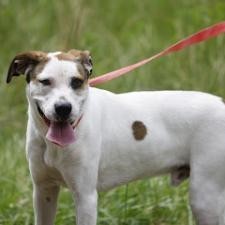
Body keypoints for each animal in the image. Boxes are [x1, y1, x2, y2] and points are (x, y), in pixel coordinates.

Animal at [6, 49, 225, 225]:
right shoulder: (44, 191)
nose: (63, 108)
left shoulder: (85, 197)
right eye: (45, 82)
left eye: (77, 82)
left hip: (205, 197)